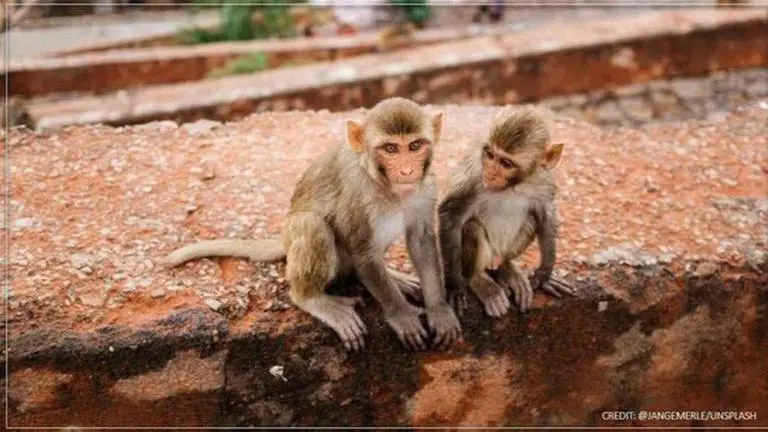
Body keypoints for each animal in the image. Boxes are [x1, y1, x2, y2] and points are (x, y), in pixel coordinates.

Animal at [162, 97, 461, 351]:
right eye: (390, 149)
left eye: (415, 145)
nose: (407, 171)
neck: (388, 188)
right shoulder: (358, 194)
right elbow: (364, 255)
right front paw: (402, 315)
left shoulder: (426, 190)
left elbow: (422, 244)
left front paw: (440, 312)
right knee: (312, 224)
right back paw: (312, 299)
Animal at [438, 107, 575, 318]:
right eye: (490, 154)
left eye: (505, 163)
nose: (491, 173)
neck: (513, 185)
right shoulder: (474, 178)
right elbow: (450, 215)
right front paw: (455, 286)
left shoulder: (544, 180)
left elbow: (545, 214)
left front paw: (545, 274)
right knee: (472, 228)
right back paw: (480, 281)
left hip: (501, 252)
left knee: (531, 220)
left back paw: (506, 269)